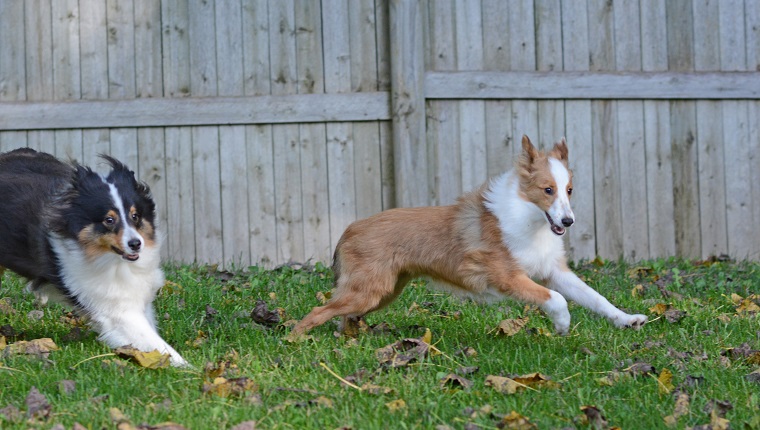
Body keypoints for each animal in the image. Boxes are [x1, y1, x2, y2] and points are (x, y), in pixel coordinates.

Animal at [0, 149, 187, 366]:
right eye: (109, 220)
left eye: (135, 216)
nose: (136, 243)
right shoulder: (116, 311)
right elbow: (155, 343)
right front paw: (187, 368)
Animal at [290, 136, 648, 338]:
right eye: (547, 190)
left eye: (569, 190)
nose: (568, 221)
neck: (528, 218)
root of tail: (349, 229)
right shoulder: (509, 277)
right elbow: (556, 299)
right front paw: (562, 325)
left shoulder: (554, 272)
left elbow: (596, 298)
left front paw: (627, 320)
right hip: (368, 291)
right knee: (317, 311)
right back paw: (294, 340)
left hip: (384, 292)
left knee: (341, 315)